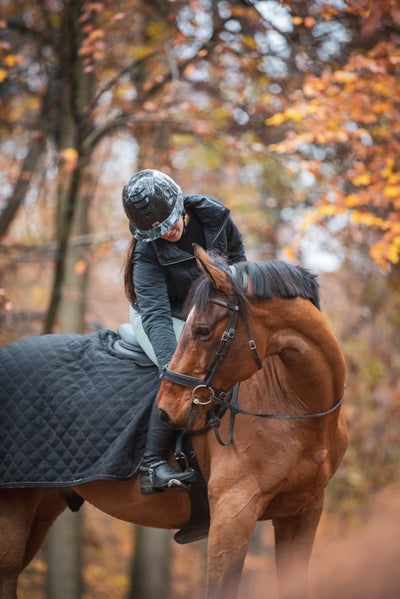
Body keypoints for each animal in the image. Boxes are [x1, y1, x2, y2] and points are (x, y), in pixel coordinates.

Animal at [0, 246, 346, 596]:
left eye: (203, 330)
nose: (165, 409)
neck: (295, 408)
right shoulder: (233, 514)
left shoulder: (302, 513)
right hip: (13, 506)